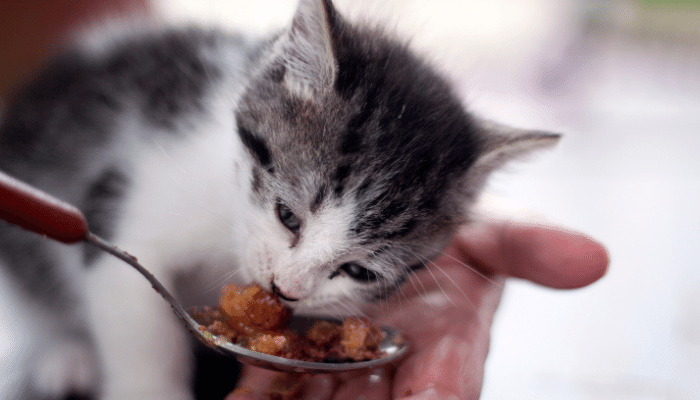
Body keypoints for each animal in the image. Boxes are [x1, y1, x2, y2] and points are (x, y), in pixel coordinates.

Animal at [0, 0, 556, 400]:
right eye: (287, 216)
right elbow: (136, 315)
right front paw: (150, 387)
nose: (285, 290)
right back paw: (68, 352)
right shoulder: (125, 199)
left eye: (358, 271)